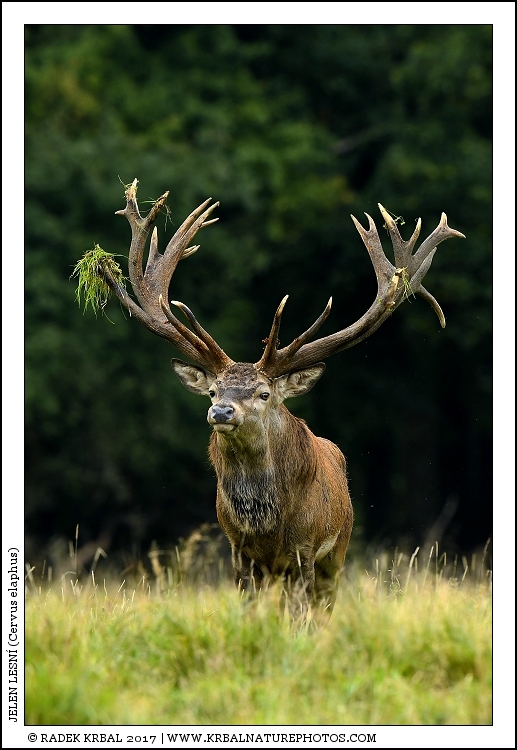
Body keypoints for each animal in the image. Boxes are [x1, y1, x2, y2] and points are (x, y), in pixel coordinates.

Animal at [88, 179, 465, 618]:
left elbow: (302, 612)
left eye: (264, 393)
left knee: (322, 605)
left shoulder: (306, 546)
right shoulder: (237, 547)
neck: (266, 524)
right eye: (213, 389)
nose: (221, 411)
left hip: (339, 546)